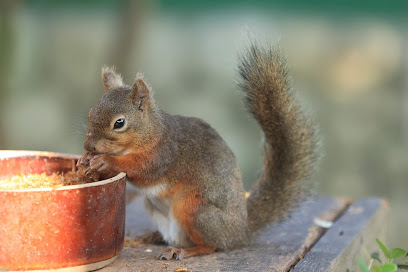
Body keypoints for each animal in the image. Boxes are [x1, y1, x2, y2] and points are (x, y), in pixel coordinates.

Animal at [76, 42, 318, 260]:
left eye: (119, 123)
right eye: (91, 112)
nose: (89, 146)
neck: (152, 132)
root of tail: (240, 231)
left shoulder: (164, 154)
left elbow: (142, 170)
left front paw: (104, 161)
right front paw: (86, 159)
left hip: (195, 209)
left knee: (213, 245)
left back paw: (183, 251)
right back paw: (155, 237)